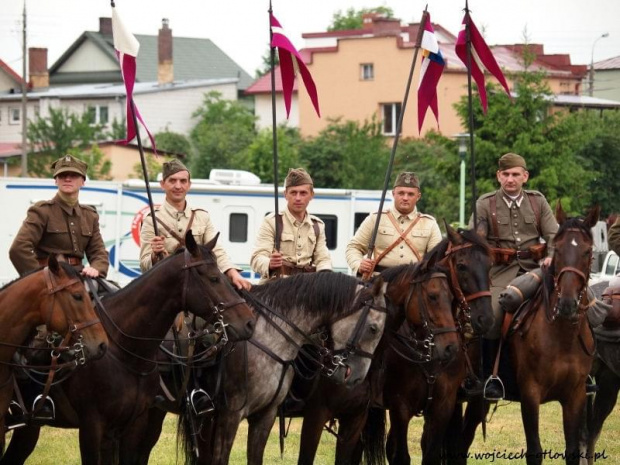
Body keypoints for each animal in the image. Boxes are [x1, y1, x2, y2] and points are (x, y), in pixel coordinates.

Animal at [294, 223, 494, 462]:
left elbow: (431, 453)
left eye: (490, 265)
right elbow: (400, 455)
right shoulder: (400, 406)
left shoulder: (443, 406)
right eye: (462, 266)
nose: (485, 319)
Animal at [452, 203, 600, 464]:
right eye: (558, 249)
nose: (567, 304)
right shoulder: (531, 395)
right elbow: (534, 450)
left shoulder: (576, 396)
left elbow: (573, 450)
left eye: (587, 251)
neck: (562, 337)